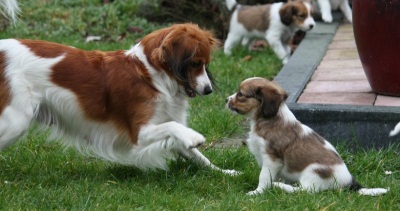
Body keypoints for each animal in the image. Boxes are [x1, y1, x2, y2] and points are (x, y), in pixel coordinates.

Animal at [0, 22, 241, 175]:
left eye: (205, 63)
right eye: (195, 63)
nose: (208, 90)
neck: (151, 76)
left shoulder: (162, 122)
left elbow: (197, 155)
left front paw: (224, 172)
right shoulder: (140, 134)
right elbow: (176, 128)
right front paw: (195, 137)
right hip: (16, 122)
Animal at [227, 77, 390, 196]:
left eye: (241, 94)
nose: (226, 99)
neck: (267, 120)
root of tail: (349, 182)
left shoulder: (271, 159)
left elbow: (264, 177)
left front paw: (257, 193)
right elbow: (269, 175)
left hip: (313, 171)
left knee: (305, 191)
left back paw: (281, 186)